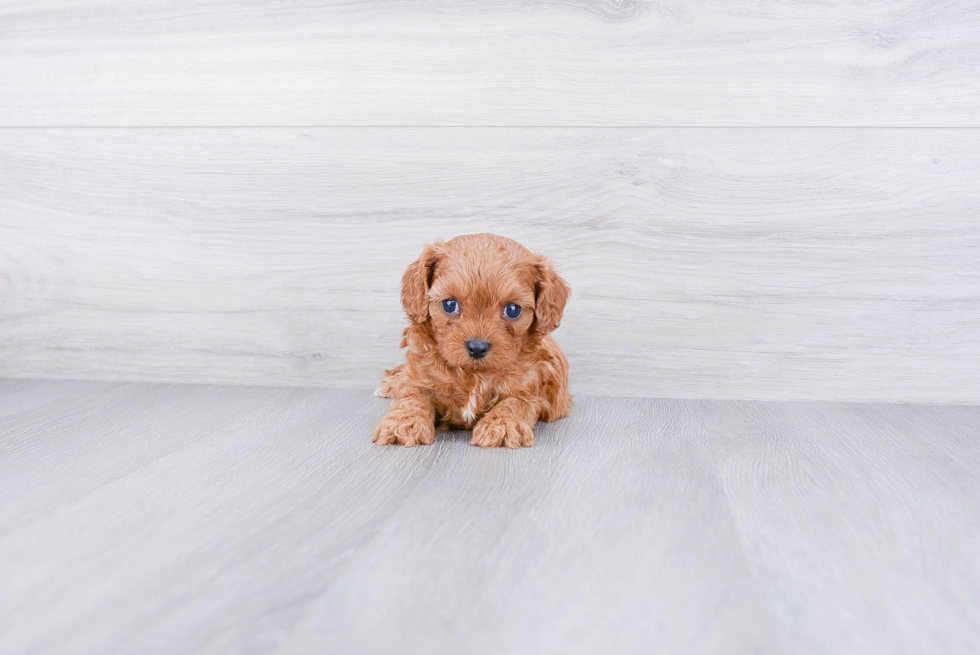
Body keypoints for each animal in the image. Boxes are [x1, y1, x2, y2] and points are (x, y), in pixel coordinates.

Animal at [376, 236, 576, 452]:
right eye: (449, 304)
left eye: (513, 310)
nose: (477, 347)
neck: (473, 374)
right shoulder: (418, 378)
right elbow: (411, 397)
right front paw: (403, 423)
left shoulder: (530, 387)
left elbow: (515, 402)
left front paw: (502, 426)